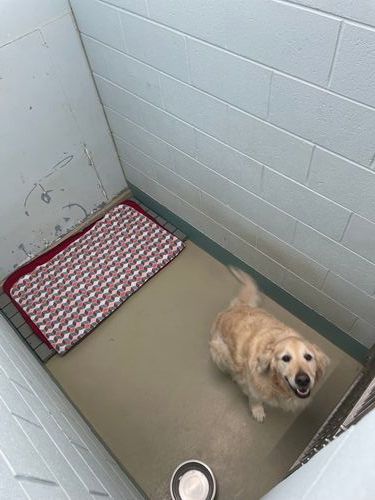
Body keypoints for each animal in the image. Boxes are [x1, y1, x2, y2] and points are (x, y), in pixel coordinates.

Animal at [210, 268, 330, 420]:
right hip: (218, 351)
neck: (277, 384)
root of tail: (237, 306)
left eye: (308, 357)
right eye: (286, 358)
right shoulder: (253, 387)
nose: (303, 380)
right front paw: (257, 410)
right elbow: (255, 398)